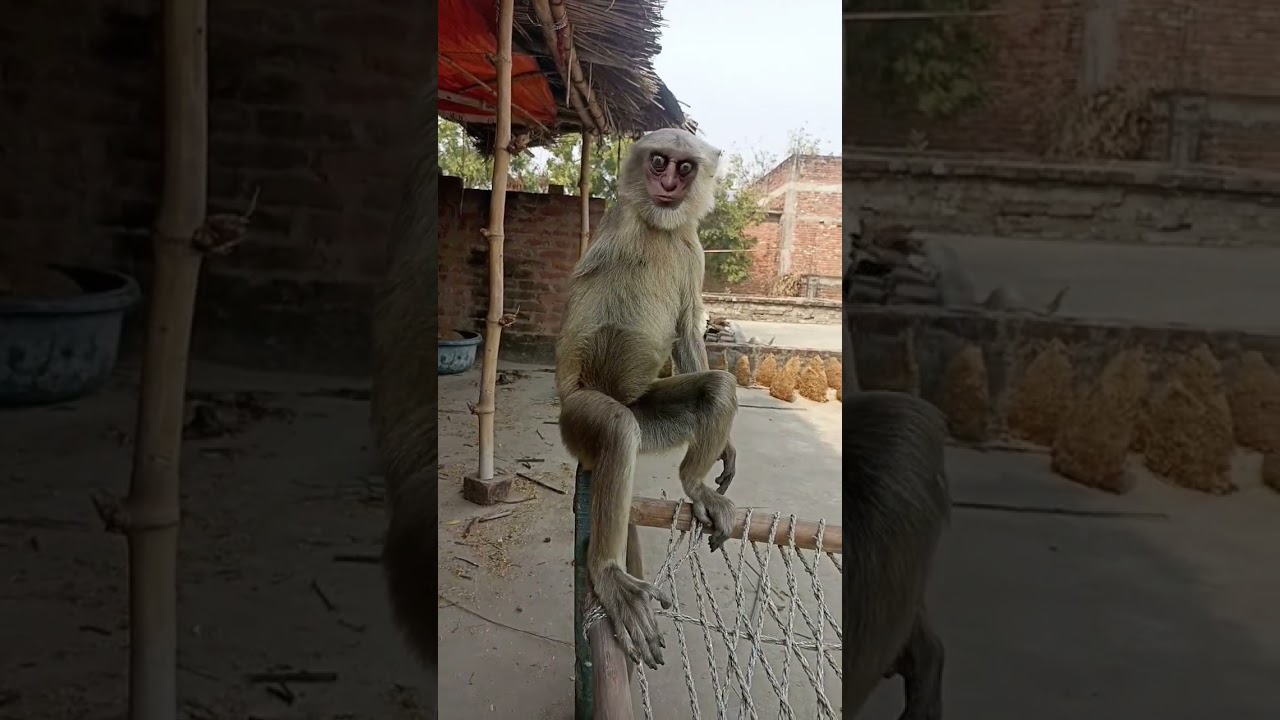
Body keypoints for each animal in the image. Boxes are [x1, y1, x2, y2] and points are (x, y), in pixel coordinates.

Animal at [555, 127, 740, 671]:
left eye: (685, 167)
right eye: (659, 162)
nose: (668, 185)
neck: (658, 229)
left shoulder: (691, 248)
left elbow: (687, 330)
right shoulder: (618, 227)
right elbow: (583, 334)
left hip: (652, 414)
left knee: (717, 387)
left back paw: (695, 485)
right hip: (577, 421)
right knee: (616, 426)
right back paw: (608, 574)